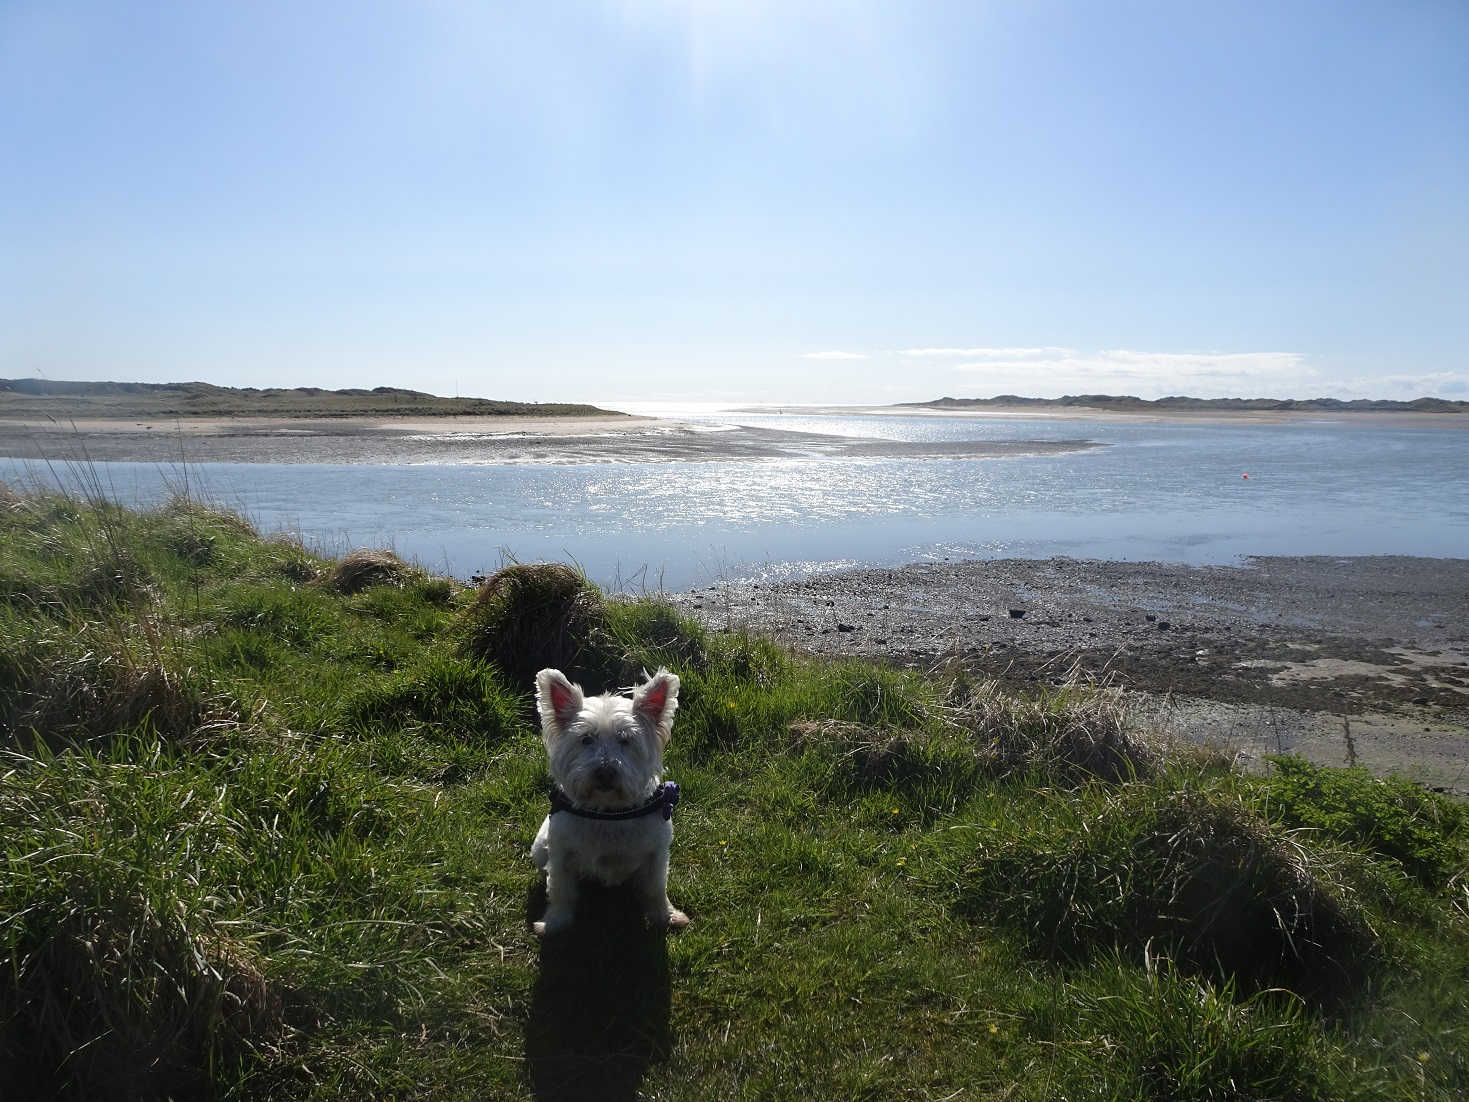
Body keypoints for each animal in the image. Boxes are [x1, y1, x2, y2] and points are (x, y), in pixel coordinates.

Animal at [531, 670, 690, 934]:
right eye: (586, 739)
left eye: (625, 740)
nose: (604, 772)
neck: (609, 812)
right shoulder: (561, 855)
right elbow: (561, 891)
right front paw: (554, 922)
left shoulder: (656, 856)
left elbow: (656, 890)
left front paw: (666, 917)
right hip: (539, 849)